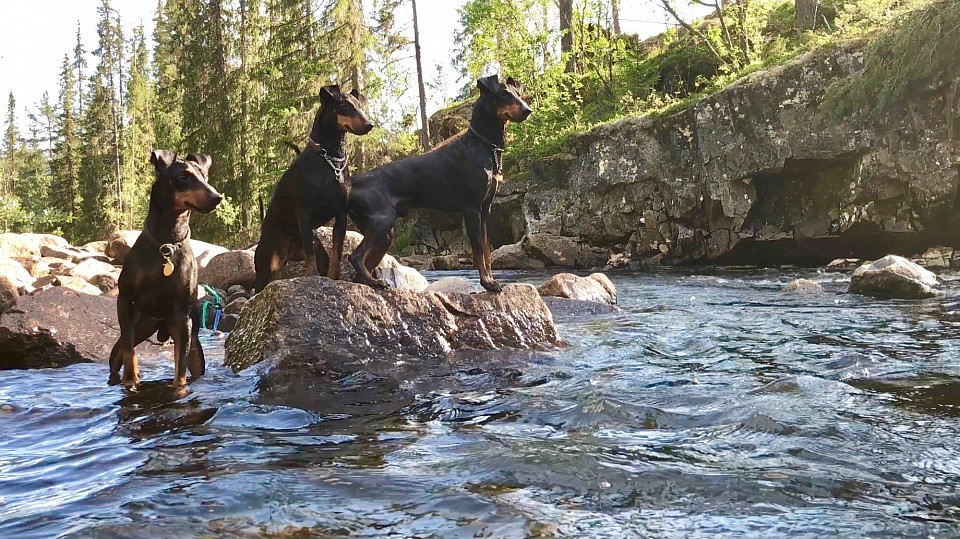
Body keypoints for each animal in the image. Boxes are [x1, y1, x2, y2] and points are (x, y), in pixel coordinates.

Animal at [109, 151, 223, 388]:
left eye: (205, 175)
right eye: (183, 176)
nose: (217, 197)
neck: (167, 242)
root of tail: (159, 327)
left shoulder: (182, 316)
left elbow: (180, 368)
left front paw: (178, 389)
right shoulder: (124, 300)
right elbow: (129, 352)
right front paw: (132, 379)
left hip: (194, 348)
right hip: (138, 327)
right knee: (119, 354)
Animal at [253, 85, 374, 294]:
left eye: (359, 105)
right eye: (343, 105)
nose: (369, 124)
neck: (331, 159)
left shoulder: (341, 214)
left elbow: (337, 251)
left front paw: (335, 279)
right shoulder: (304, 212)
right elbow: (310, 257)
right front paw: (311, 276)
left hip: (314, 251)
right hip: (267, 262)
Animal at [348, 75, 532, 292]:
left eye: (517, 93)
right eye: (503, 93)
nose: (528, 110)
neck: (484, 146)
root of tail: (352, 183)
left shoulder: (485, 210)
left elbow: (487, 251)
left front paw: (491, 280)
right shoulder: (471, 209)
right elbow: (478, 251)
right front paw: (487, 283)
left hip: (384, 234)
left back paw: (372, 283)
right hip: (381, 222)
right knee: (355, 256)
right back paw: (374, 281)